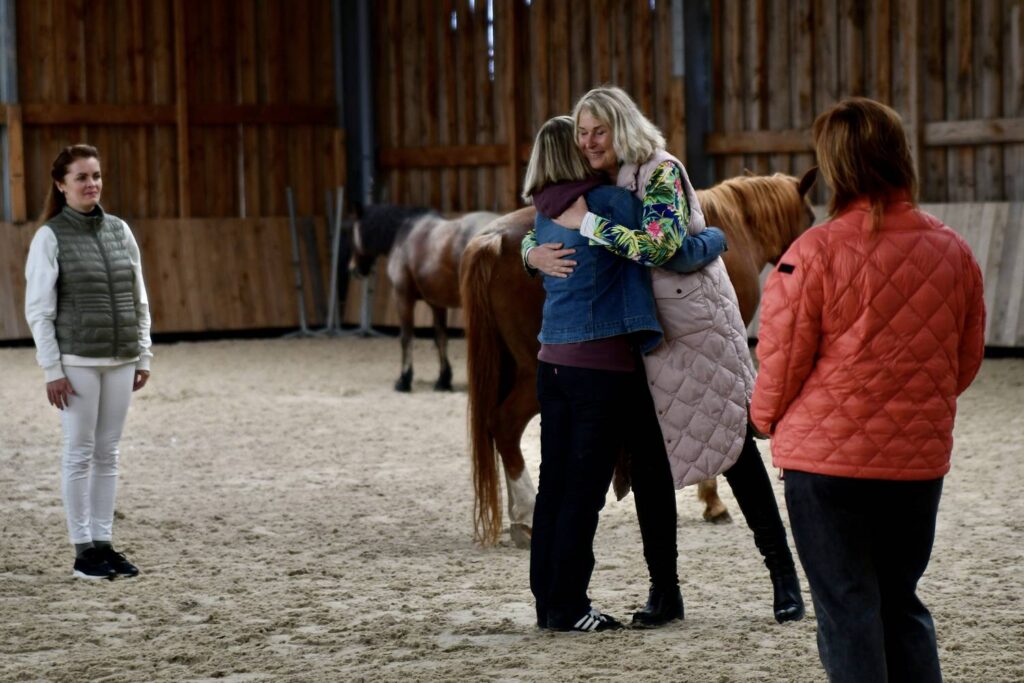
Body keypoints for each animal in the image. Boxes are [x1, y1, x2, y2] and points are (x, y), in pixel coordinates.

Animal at [350, 205, 497, 393]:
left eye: (353, 232)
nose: (354, 269)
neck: (404, 233)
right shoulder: (437, 303)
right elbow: (441, 338)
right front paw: (443, 380)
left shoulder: (403, 297)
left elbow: (406, 337)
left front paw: (404, 380)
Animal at [462, 167, 815, 548]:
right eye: (811, 218)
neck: (738, 224)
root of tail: (494, 241)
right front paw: (713, 500)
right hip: (534, 373)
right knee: (505, 424)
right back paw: (526, 515)